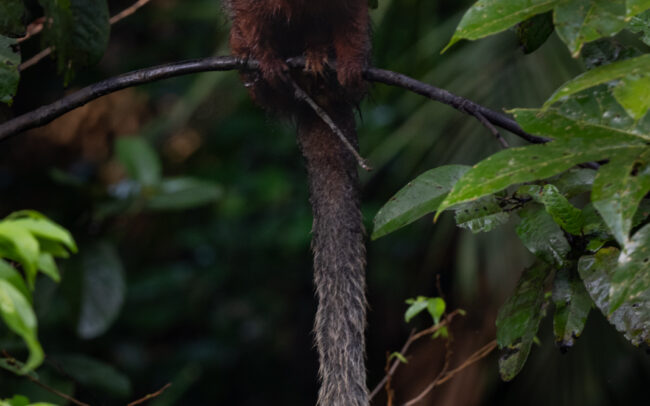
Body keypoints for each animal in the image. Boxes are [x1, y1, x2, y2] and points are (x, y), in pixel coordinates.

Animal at [225, 1, 371, 405]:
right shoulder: (249, 12)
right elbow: (247, 17)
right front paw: (263, 59)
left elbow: (352, 18)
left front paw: (347, 61)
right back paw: (261, 75)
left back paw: (320, 62)